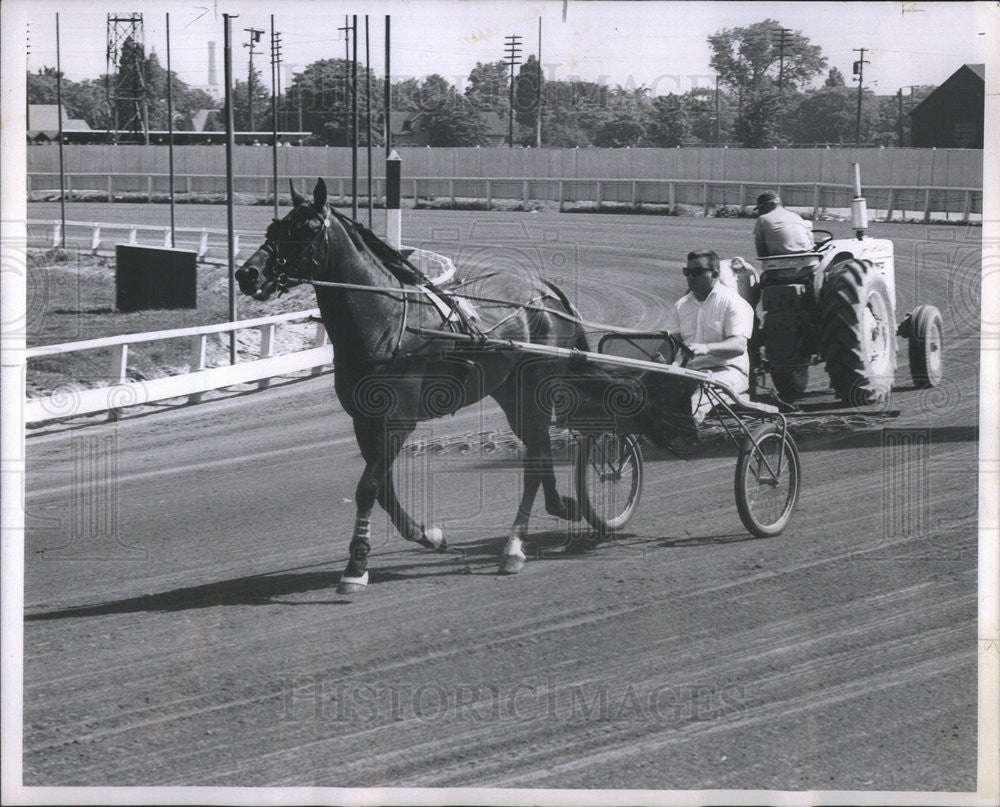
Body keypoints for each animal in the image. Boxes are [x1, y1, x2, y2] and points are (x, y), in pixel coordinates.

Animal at [236, 178, 600, 592]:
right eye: (275, 227)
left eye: (306, 229)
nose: (247, 274)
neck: (388, 321)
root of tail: (547, 291)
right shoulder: (364, 421)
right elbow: (383, 491)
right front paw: (428, 535)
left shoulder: (398, 420)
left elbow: (368, 488)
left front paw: (355, 567)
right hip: (511, 393)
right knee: (538, 452)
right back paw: (558, 508)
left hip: (535, 387)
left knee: (535, 459)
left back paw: (514, 547)